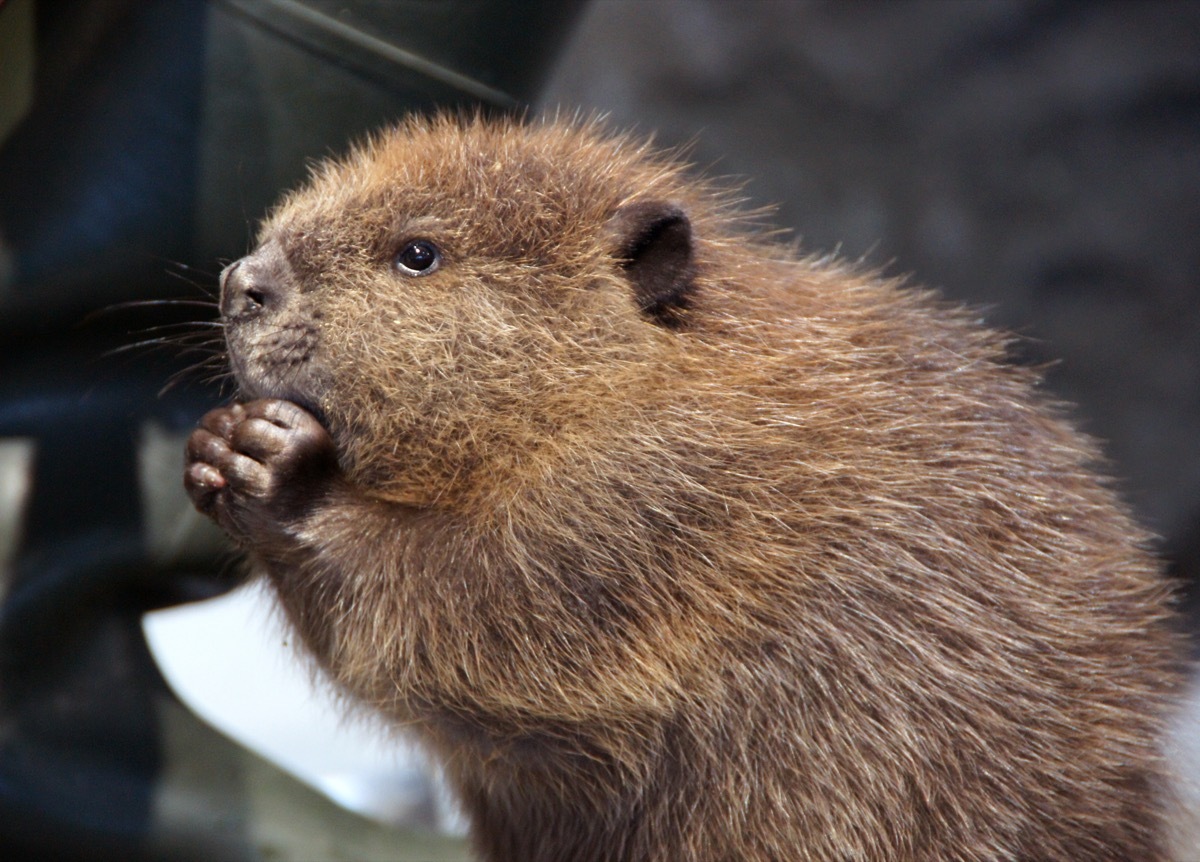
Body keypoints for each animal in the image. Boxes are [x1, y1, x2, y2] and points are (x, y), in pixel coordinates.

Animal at [182, 114, 1185, 862]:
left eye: (418, 253)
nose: (243, 282)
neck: (663, 374)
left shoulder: (666, 491)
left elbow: (480, 609)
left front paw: (276, 462)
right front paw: (216, 442)